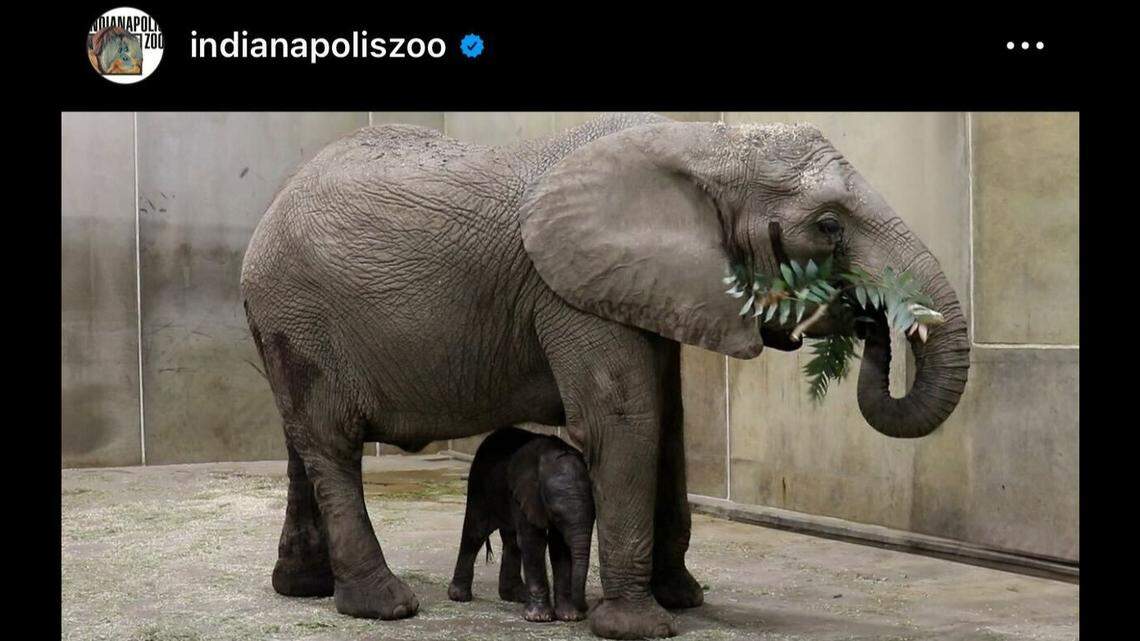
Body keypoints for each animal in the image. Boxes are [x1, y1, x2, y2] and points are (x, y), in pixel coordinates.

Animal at [446, 426, 594, 622]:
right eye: (556, 513)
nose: (585, 607)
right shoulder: (527, 493)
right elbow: (534, 542)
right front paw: (540, 618)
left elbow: (559, 547)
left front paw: (569, 616)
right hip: (479, 483)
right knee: (475, 532)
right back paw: (459, 596)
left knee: (511, 541)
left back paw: (516, 595)